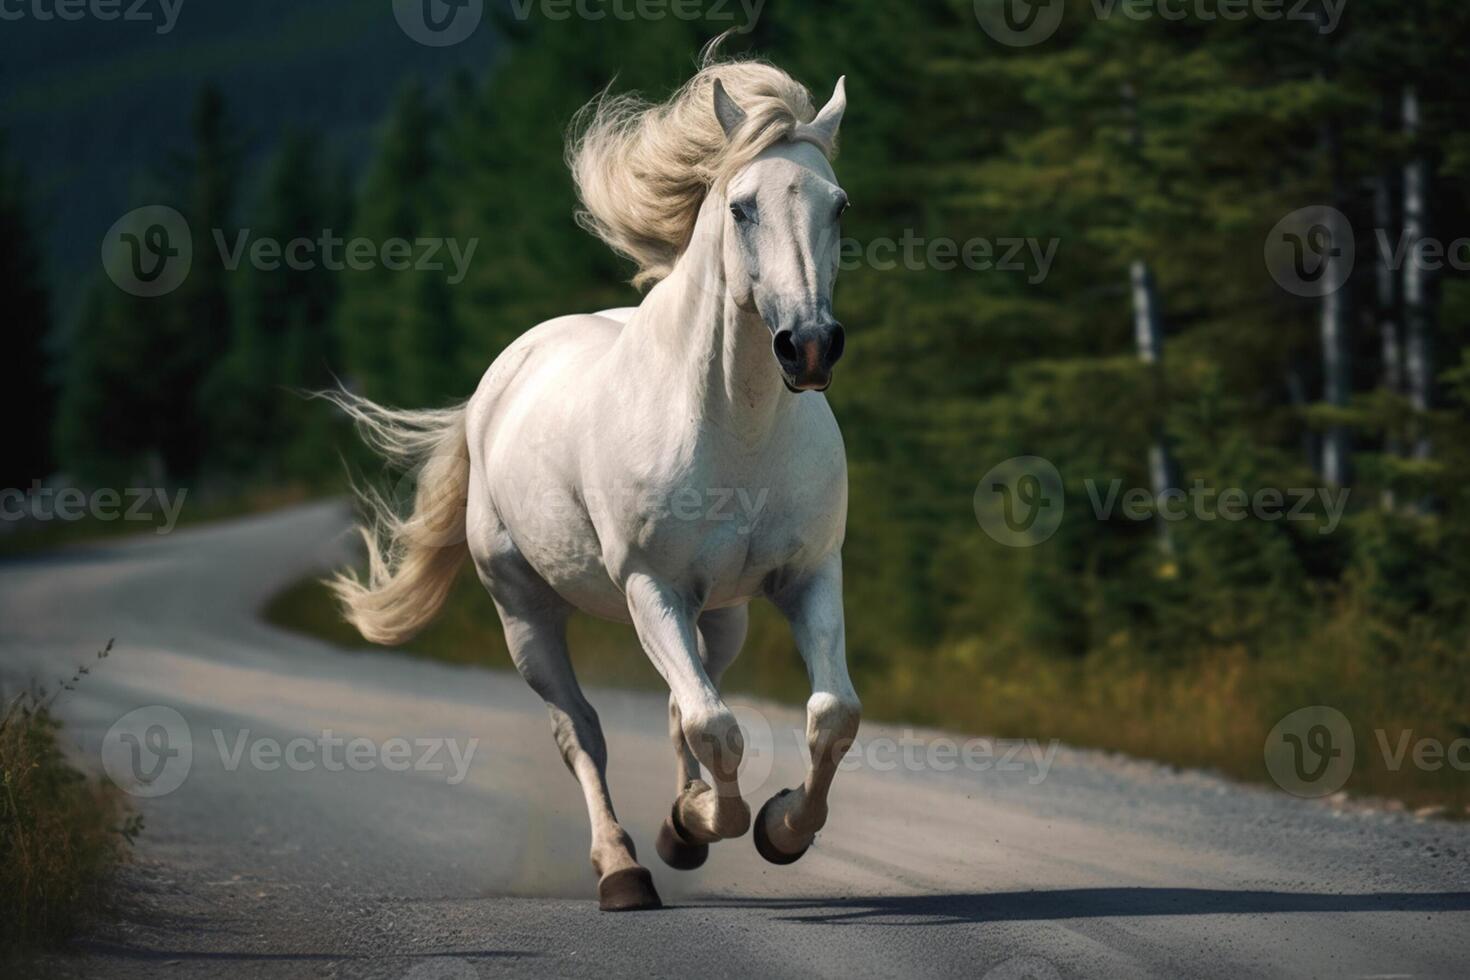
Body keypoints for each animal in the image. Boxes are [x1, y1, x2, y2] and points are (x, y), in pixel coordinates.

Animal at [330, 55, 858, 910]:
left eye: (838, 206)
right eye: (742, 207)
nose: (808, 347)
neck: (734, 427)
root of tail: (498, 382)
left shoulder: (807, 576)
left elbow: (829, 714)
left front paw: (776, 830)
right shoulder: (650, 587)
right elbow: (715, 727)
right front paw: (704, 822)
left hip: (722, 614)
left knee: (686, 699)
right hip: (525, 612)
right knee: (580, 729)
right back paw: (623, 869)